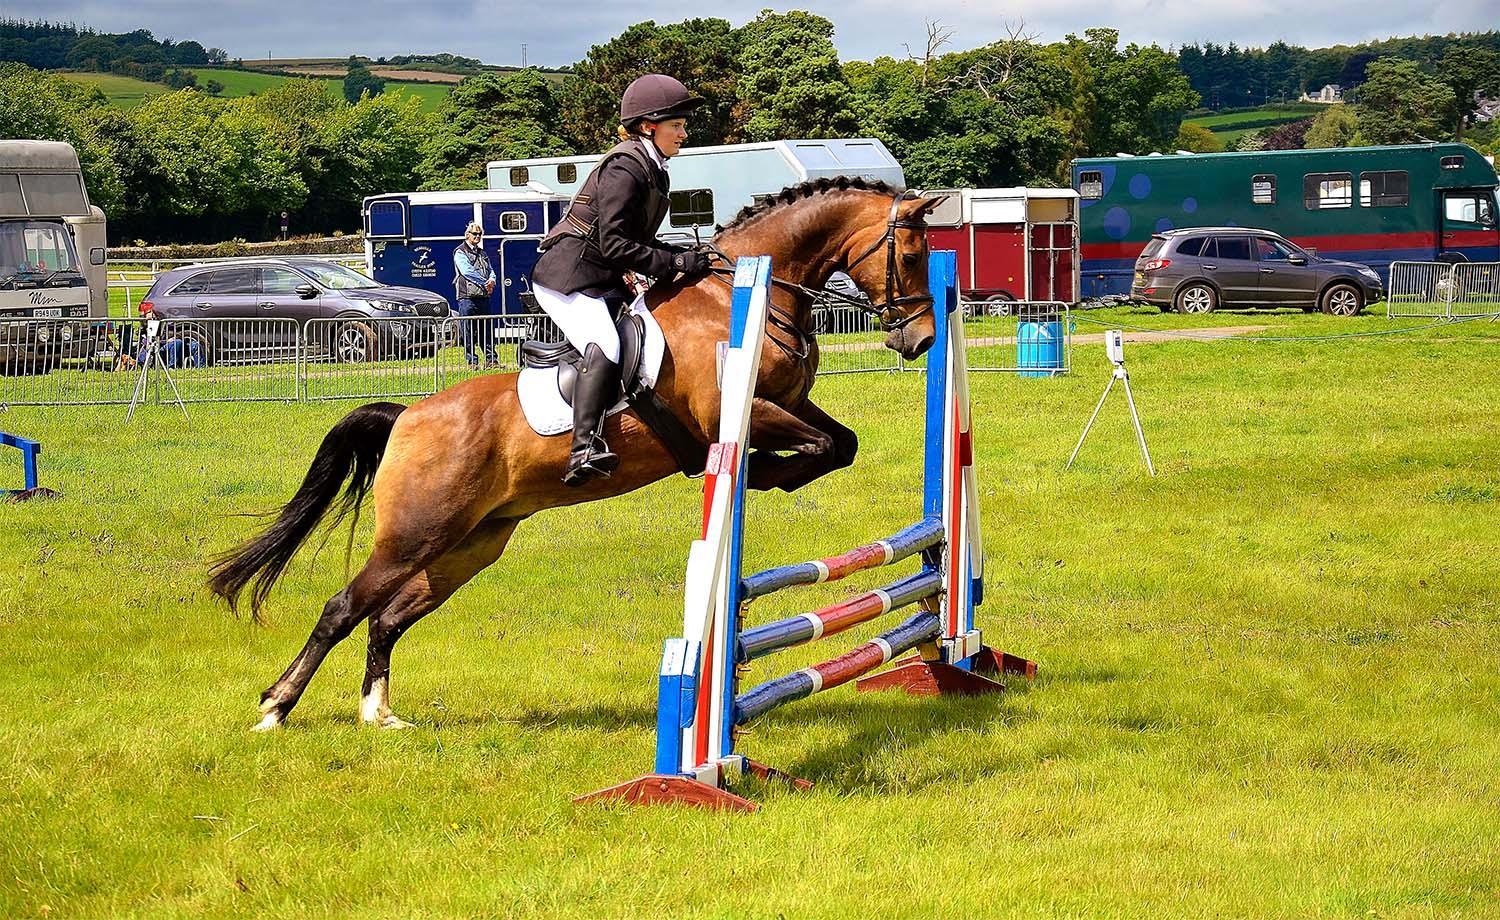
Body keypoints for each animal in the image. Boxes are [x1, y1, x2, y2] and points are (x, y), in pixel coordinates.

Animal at [205, 175, 942, 729]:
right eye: (909, 255)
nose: (921, 341)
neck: (742, 295)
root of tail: (408, 414)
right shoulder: (739, 411)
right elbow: (813, 444)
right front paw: (760, 474)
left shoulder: (790, 403)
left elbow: (840, 443)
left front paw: (768, 475)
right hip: (416, 533)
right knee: (343, 607)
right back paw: (276, 708)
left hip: (469, 543)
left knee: (386, 616)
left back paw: (379, 715)